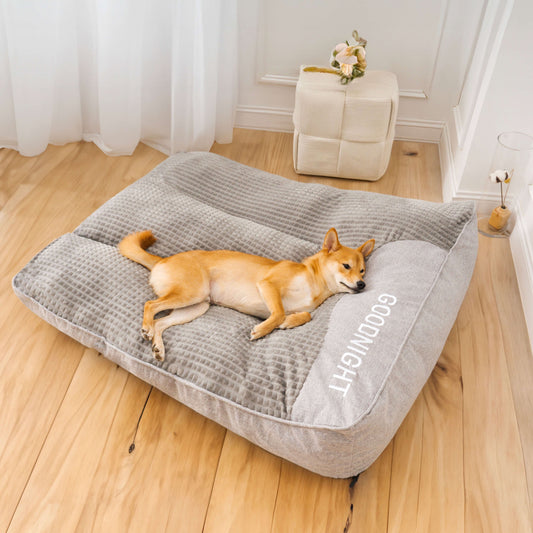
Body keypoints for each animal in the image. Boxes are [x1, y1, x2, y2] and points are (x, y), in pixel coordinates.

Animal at [118, 229, 374, 362]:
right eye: (346, 266)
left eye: (362, 270)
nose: (362, 284)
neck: (315, 280)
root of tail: (162, 260)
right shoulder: (268, 285)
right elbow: (278, 312)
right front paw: (262, 330)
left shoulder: (300, 307)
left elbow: (304, 315)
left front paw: (290, 321)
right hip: (191, 293)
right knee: (150, 305)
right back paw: (146, 328)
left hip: (197, 306)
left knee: (161, 323)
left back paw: (158, 346)